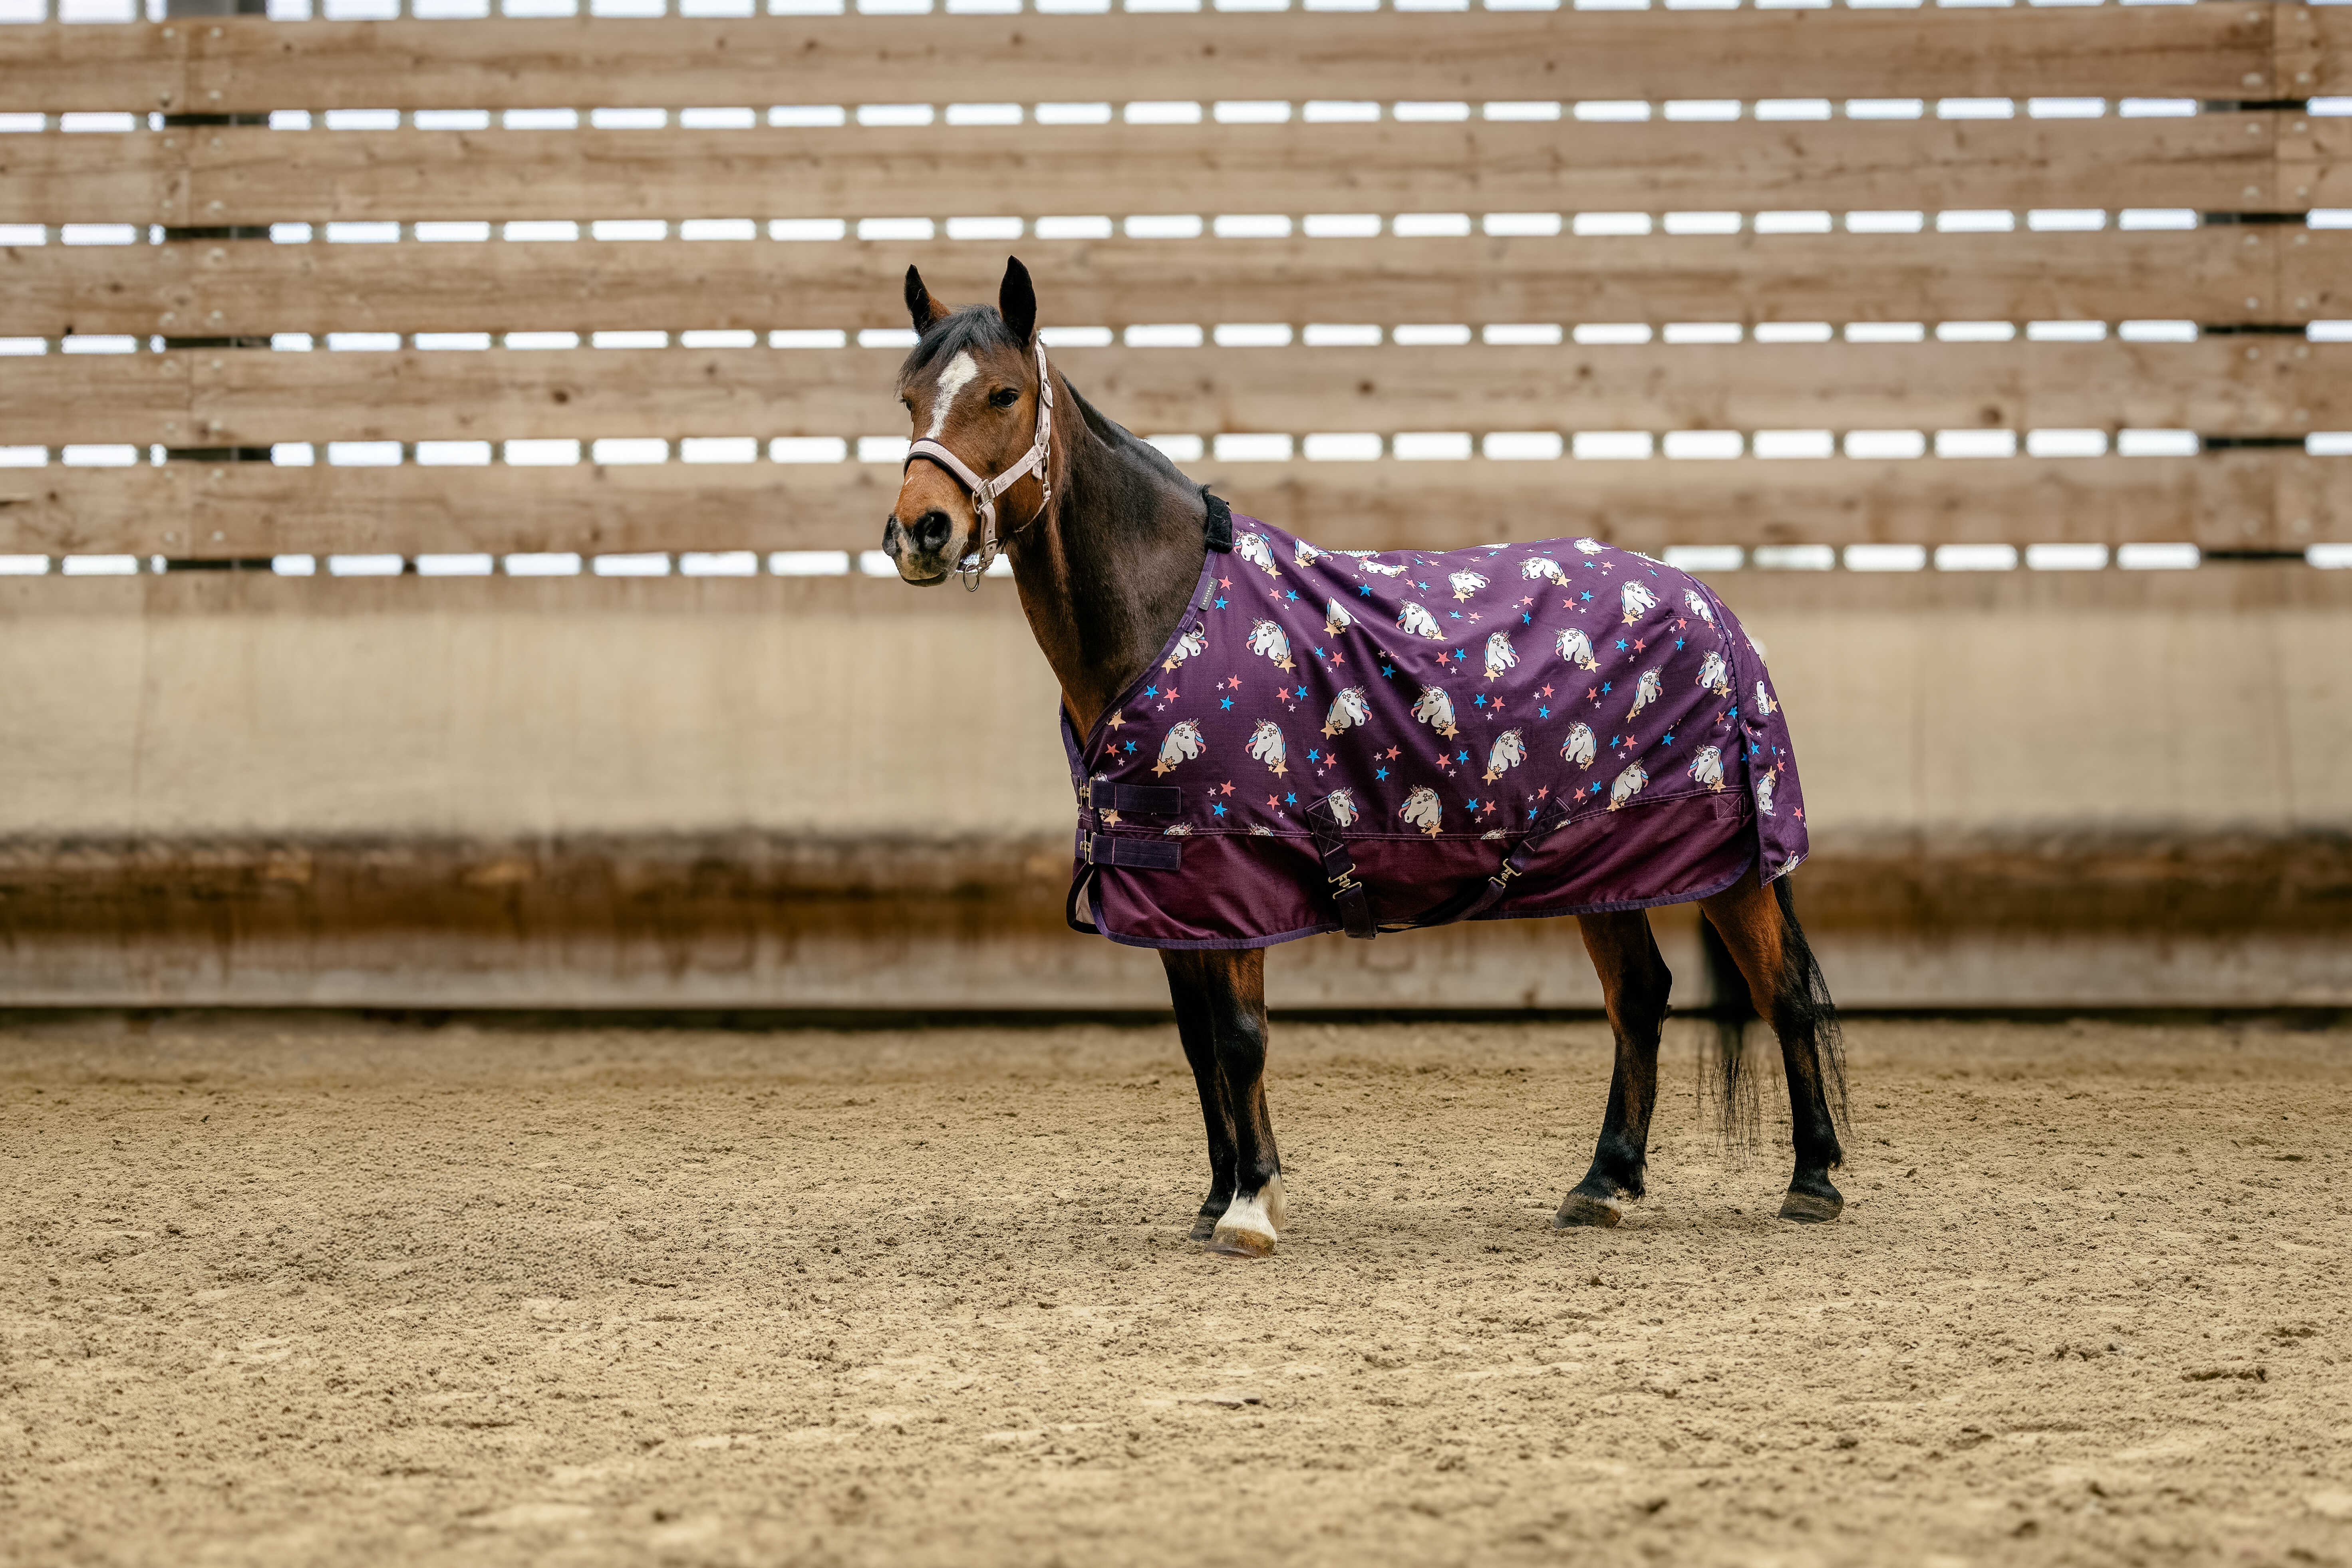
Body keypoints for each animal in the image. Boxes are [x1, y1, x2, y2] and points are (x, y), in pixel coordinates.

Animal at [880, 257, 1848, 1257]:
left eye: (1003, 393)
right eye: (907, 396)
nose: (920, 531)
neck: (1169, 614)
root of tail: (1705, 600)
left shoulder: (1234, 876)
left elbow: (1240, 1038)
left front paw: (1251, 1206)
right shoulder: (1170, 883)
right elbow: (1199, 1044)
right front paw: (1216, 1198)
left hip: (1730, 862)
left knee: (1781, 992)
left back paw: (1812, 1179)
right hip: (1603, 863)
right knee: (1640, 997)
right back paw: (1603, 1184)